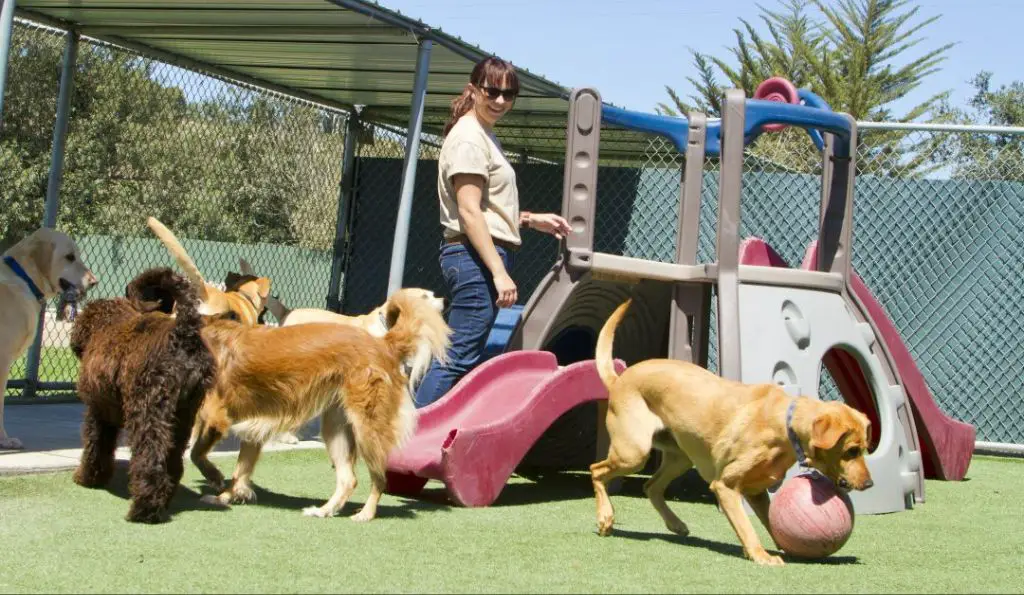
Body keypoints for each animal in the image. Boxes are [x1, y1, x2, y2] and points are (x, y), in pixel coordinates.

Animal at [71, 266, 219, 522]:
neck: (107, 324)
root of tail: (184, 333)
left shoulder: (98, 411)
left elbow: (95, 446)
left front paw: (88, 478)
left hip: (148, 411)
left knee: (150, 458)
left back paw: (143, 509)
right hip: (183, 415)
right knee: (173, 460)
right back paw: (164, 499)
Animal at [192, 286, 448, 520]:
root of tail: (383, 343)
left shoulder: (217, 417)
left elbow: (197, 453)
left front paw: (215, 478)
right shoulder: (251, 430)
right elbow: (240, 472)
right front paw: (225, 497)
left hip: (366, 428)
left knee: (379, 477)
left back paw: (366, 513)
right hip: (337, 429)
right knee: (348, 479)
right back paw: (324, 510)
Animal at [593, 299, 872, 565]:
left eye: (864, 450)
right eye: (851, 451)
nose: (869, 484)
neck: (784, 423)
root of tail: (619, 379)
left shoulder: (757, 492)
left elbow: (771, 523)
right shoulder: (726, 486)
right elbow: (746, 526)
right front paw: (761, 556)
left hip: (680, 457)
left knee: (650, 486)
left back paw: (675, 524)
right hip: (634, 453)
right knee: (597, 471)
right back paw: (606, 517)